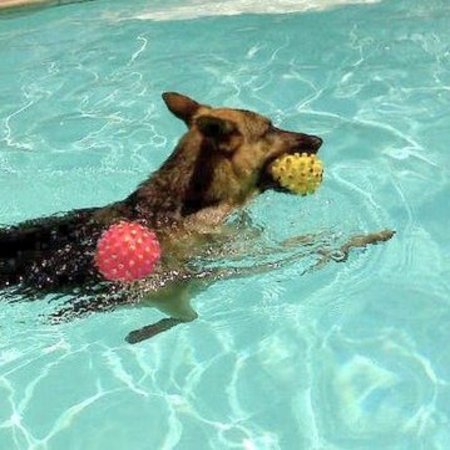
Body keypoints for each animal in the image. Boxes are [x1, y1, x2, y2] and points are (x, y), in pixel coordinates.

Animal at [0, 93, 394, 342]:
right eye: (269, 129)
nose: (318, 139)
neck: (193, 202)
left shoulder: (238, 250)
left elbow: (306, 243)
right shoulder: (196, 275)